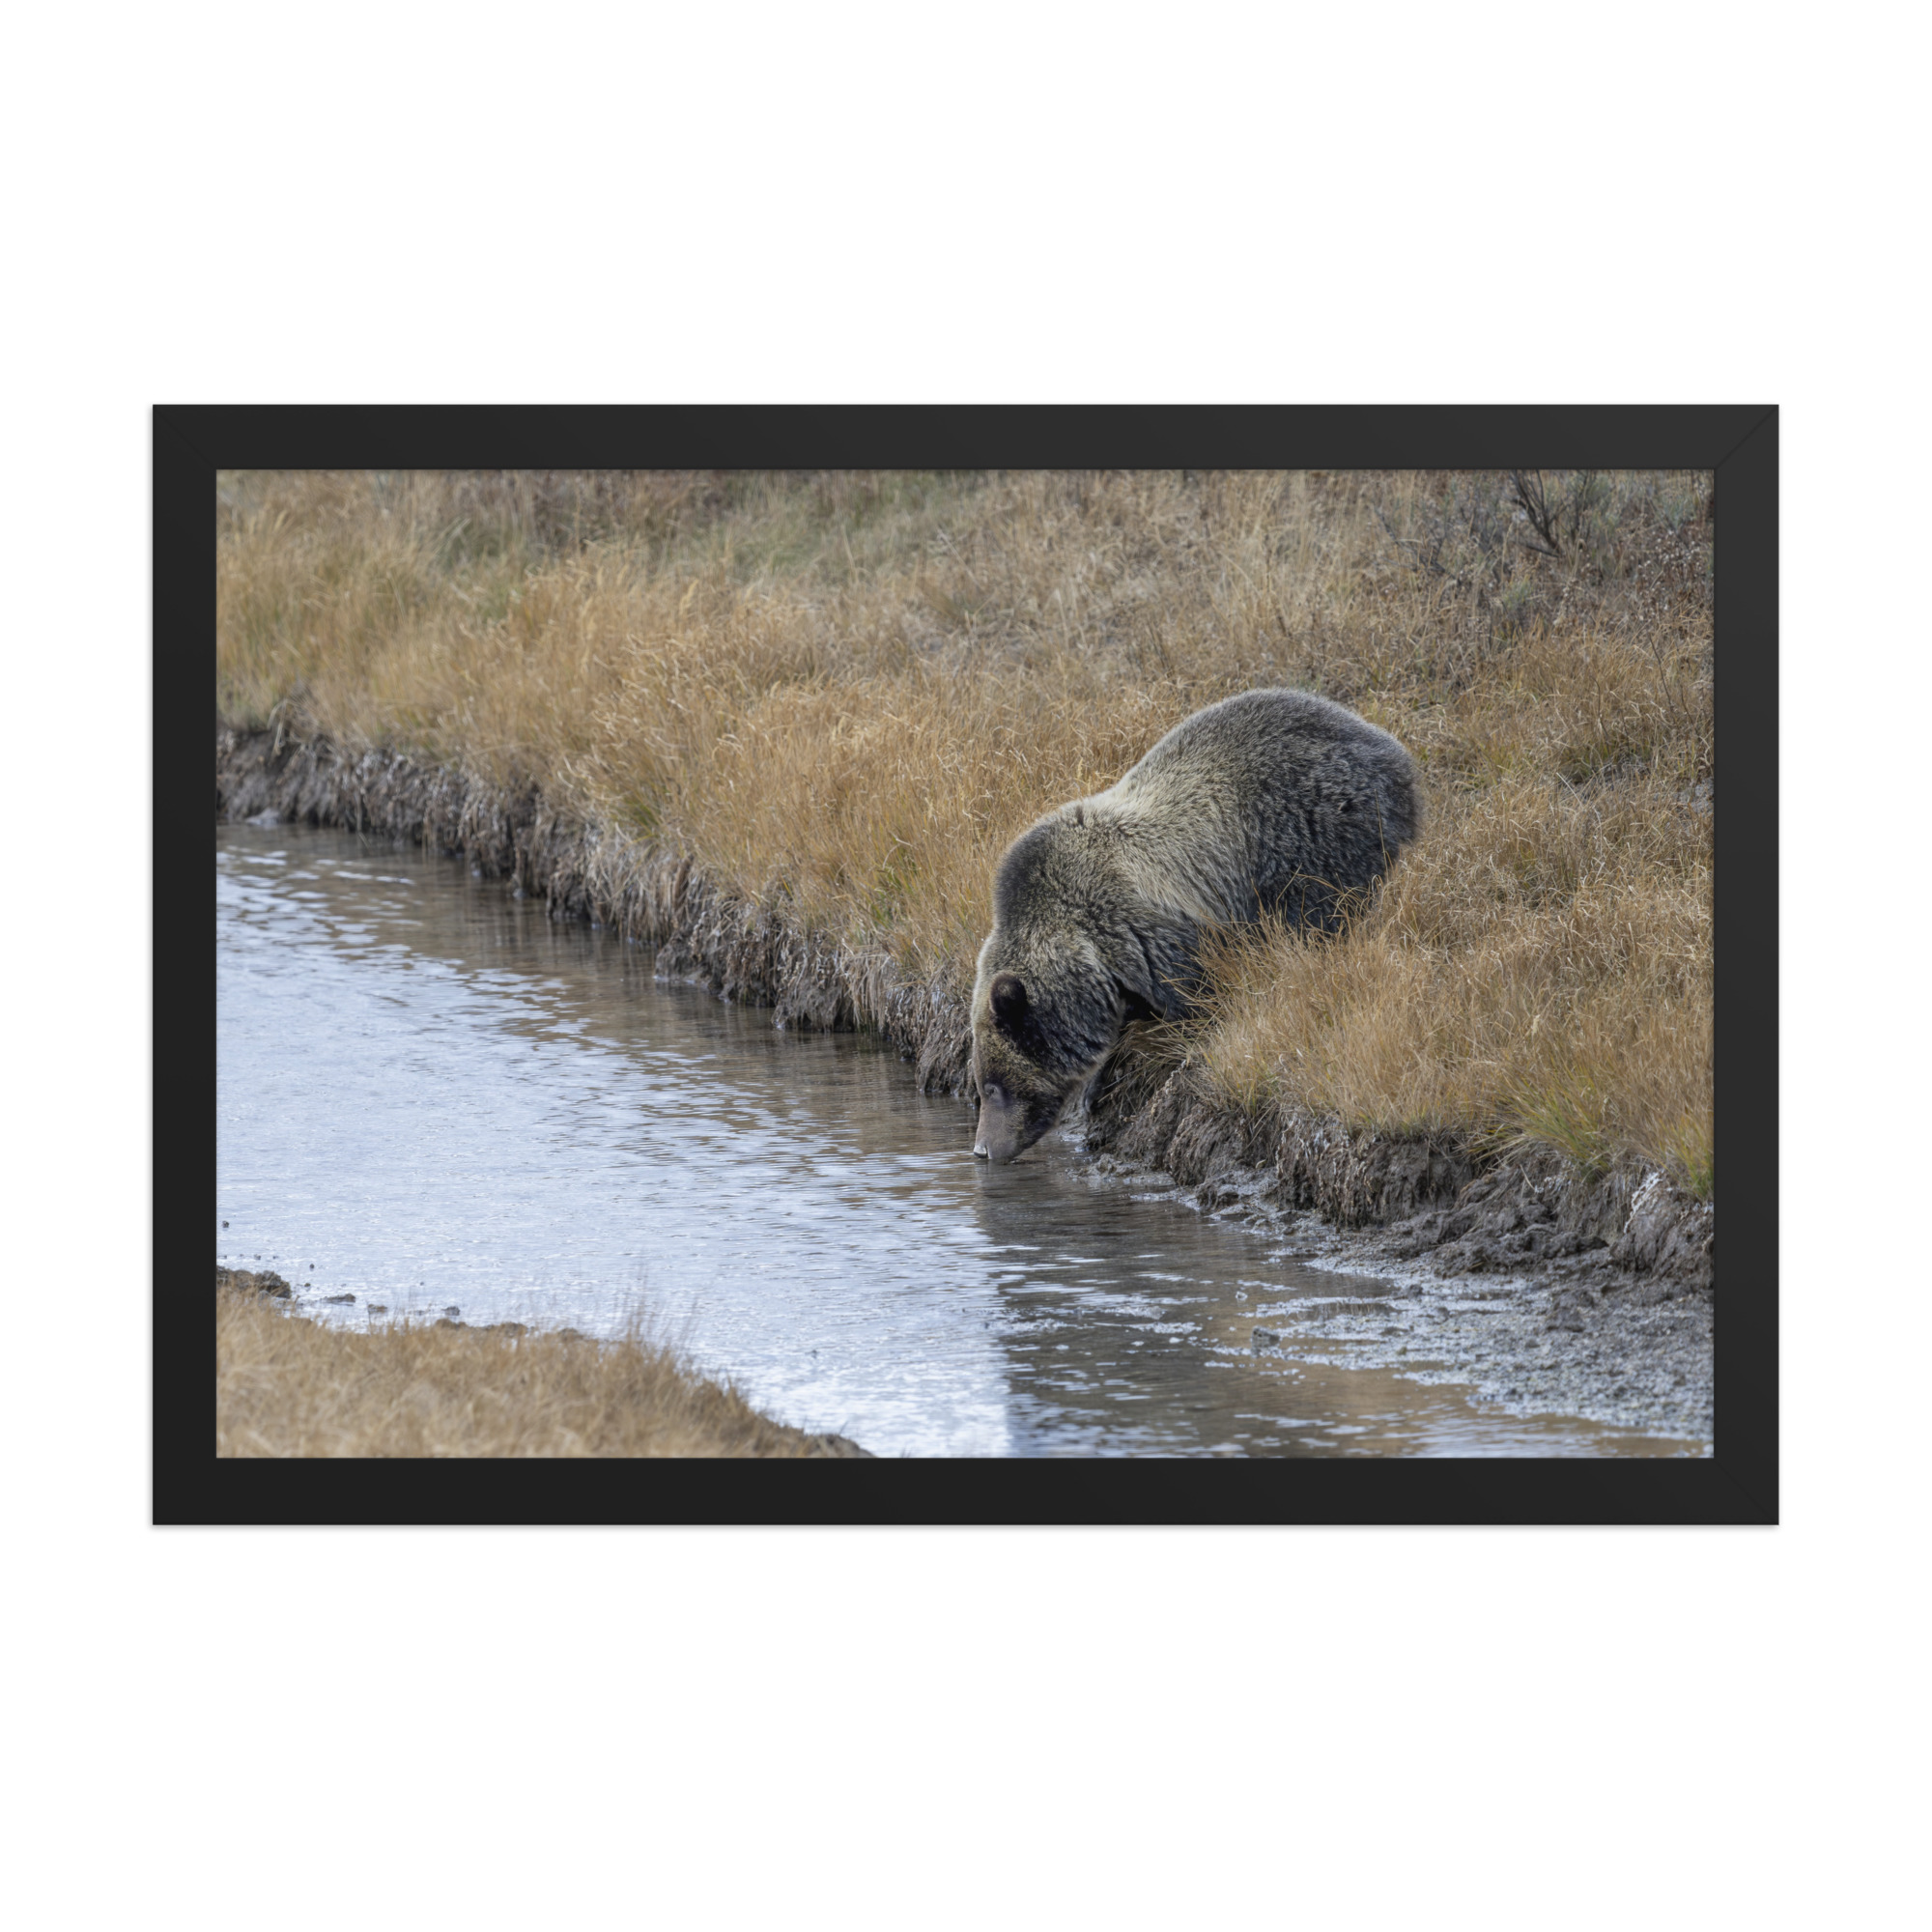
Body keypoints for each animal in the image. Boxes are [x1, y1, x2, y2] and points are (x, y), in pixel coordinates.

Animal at [970, 687, 1419, 1163]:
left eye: (993, 1086)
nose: (982, 1149)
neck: (1088, 952)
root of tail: (1391, 750)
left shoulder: (1149, 932)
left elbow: (1195, 996)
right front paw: (1098, 1084)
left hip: (1311, 830)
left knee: (1318, 913)